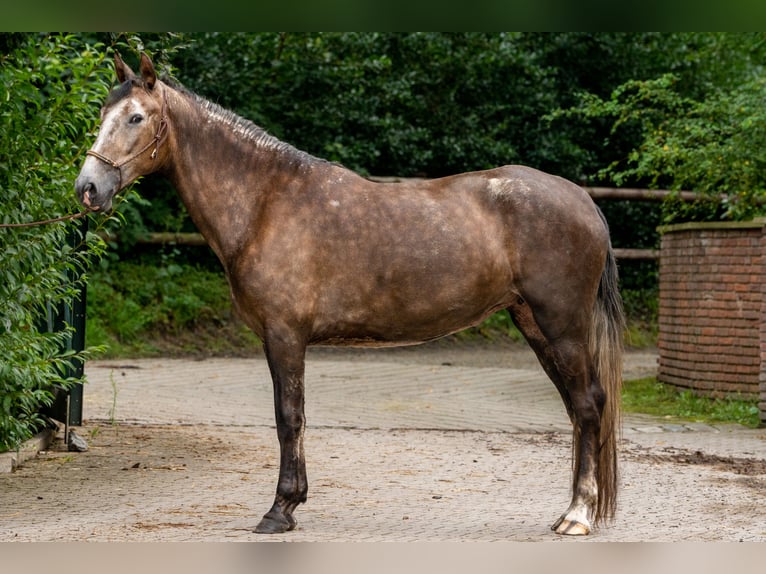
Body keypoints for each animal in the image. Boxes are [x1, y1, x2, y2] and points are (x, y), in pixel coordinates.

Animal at [75, 51, 628, 536]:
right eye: (102, 114)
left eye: (136, 117)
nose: (89, 188)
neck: (265, 203)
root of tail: (582, 199)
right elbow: (293, 418)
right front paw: (291, 504)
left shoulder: (284, 336)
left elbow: (289, 418)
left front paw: (280, 510)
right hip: (535, 324)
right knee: (577, 409)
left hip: (562, 327)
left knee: (587, 406)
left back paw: (577, 516)